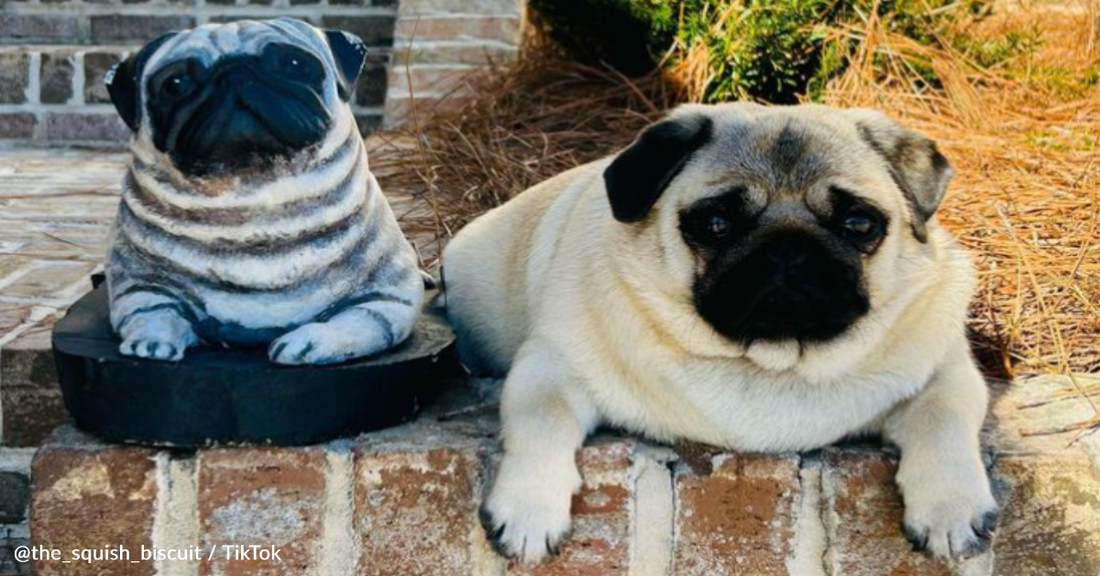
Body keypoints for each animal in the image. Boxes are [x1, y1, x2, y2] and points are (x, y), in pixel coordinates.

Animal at [103, 20, 422, 367]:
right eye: (175, 84)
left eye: (294, 64)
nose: (234, 70)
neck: (252, 199)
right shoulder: (139, 287)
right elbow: (154, 312)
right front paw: (152, 340)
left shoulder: (388, 298)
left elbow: (356, 322)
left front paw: (309, 342)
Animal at [440, 103, 998, 562]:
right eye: (714, 223)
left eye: (859, 223)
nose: (788, 247)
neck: (772, 359)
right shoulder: (551, 368)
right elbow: (543, 419)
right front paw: (529, 510)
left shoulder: (945, 372)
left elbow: (943, 416)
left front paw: (951, 508)